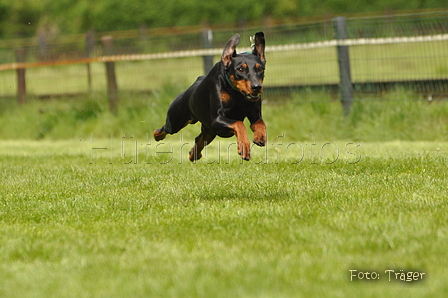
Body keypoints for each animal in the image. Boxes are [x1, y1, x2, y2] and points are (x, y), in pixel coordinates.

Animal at [154, 32, 266, 161]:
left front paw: (260, 137)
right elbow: (239, 124)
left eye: (260, 68)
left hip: (209, 131)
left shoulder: (254, 114)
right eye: (240, 69)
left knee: (199, 139)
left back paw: (194, 154)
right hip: (176, 122)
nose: (257, 87)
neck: (236, 93)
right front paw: (244, 147)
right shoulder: (216, 119)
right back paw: (157, 136)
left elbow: (260, 123)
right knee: (165, 129)